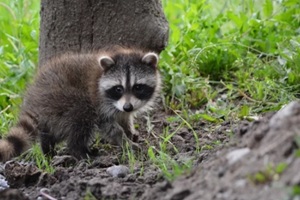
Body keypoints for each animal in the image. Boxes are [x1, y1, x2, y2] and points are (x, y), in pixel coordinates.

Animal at [0, 47, 162, 161]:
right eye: (118, 89)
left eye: (138, 87)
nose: (128, 107)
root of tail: (33, 99)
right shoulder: (99, 101)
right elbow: (110, 127)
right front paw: (124, 141)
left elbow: (124, 118)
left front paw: (129, 130)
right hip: (61, 98)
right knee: (82, 113)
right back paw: (79, 151)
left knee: (50, 131)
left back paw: (48, 148)